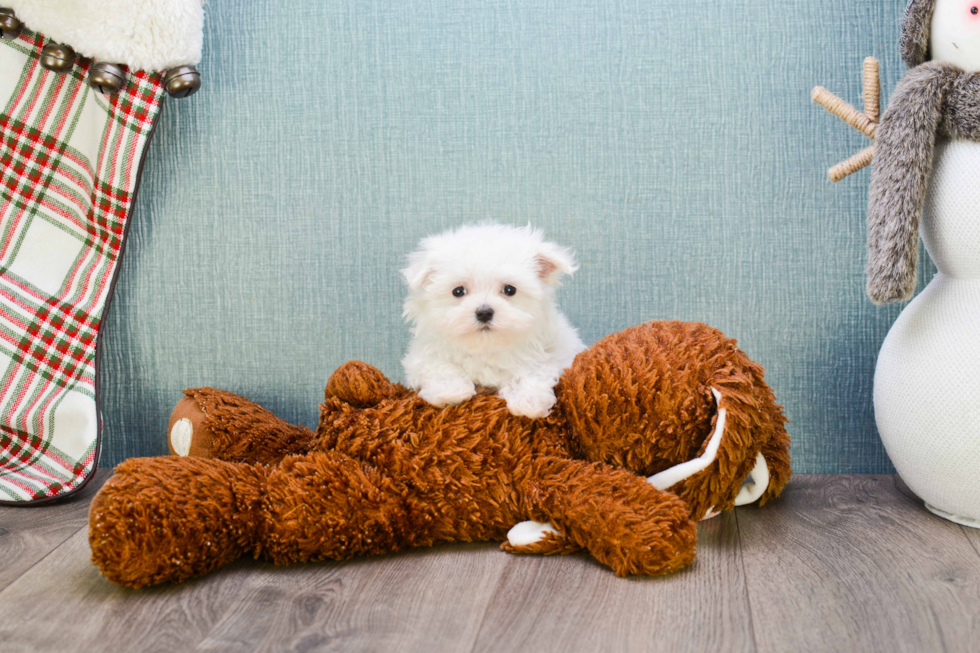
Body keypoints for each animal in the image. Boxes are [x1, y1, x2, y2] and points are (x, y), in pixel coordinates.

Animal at [402, 224, 584, 418]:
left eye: (510, 289)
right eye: (458, 291)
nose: (484, 312)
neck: (486, 347)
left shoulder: (552, 354)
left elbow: (536, 373)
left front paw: (528, 402)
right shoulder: (423, 355)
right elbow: (439, 367)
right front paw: (450, 392)